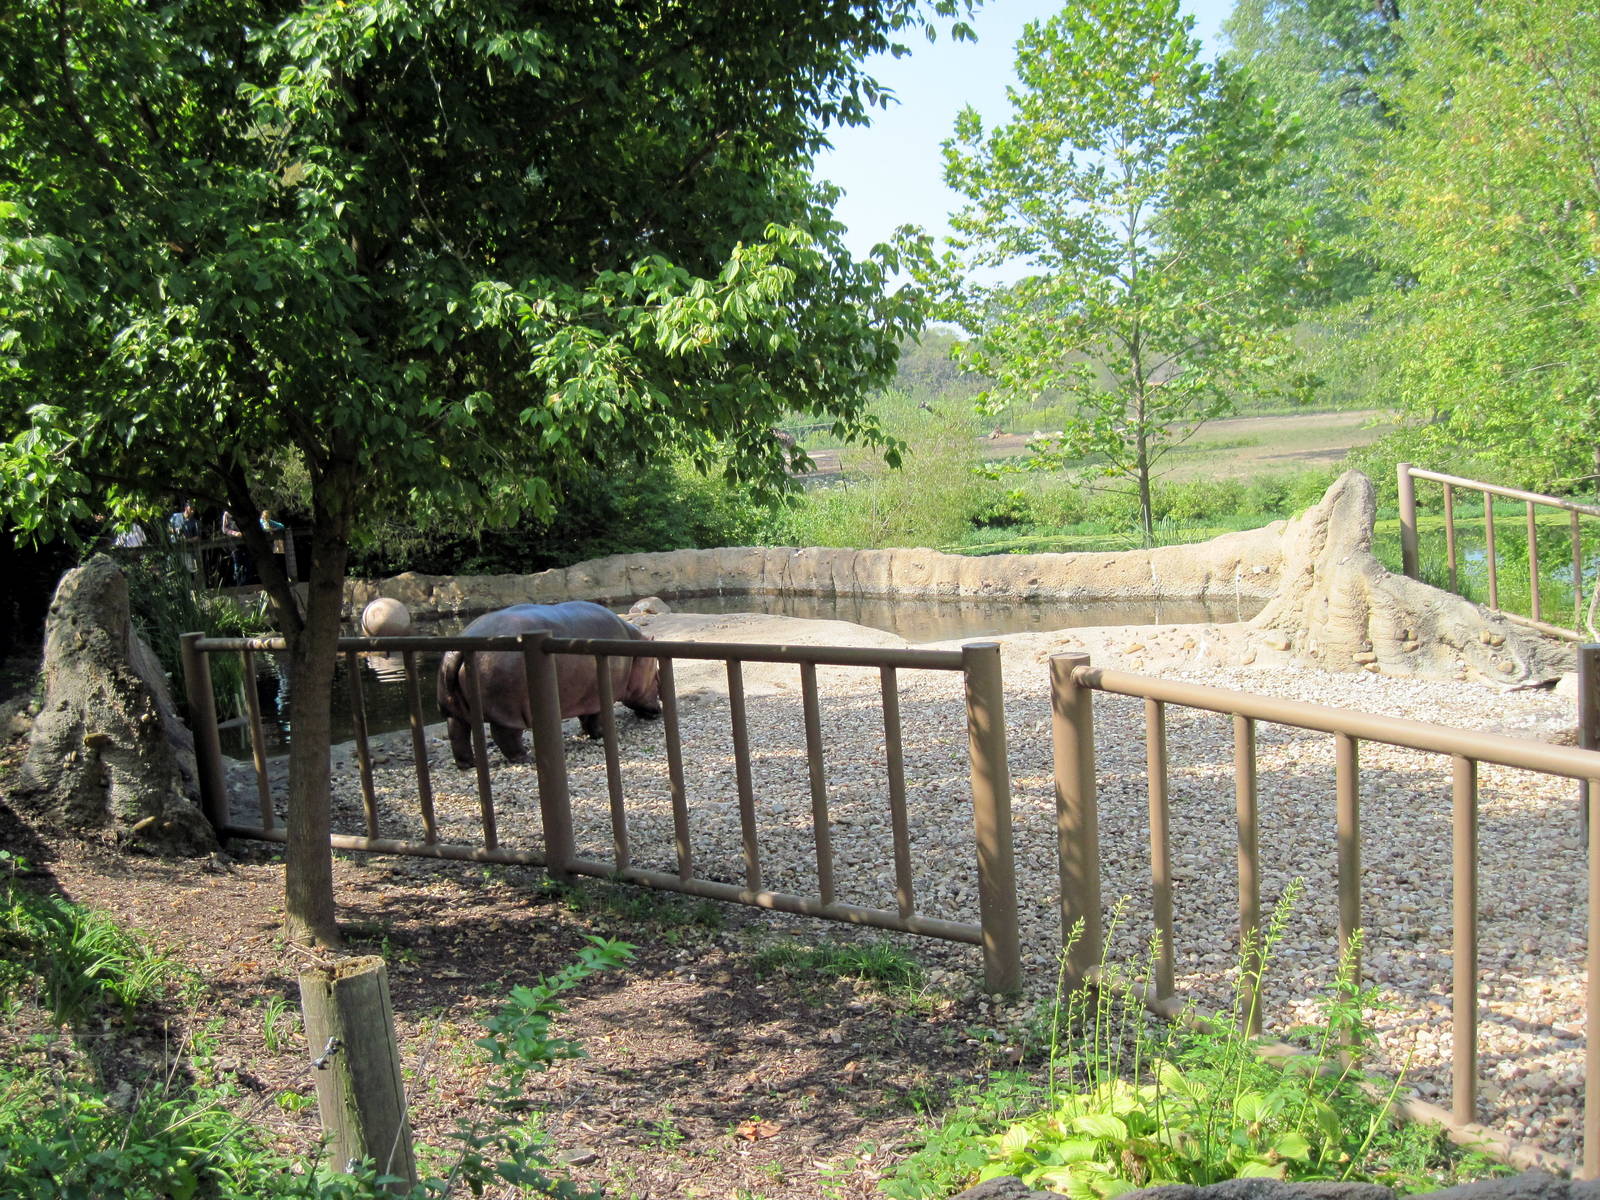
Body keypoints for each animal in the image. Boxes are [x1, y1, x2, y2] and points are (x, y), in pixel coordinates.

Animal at [436, 601, 661, 768]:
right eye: (657, 676)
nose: (657, 710)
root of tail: (458, 648)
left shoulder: (585, 695)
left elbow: (585, 718)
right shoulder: (599, 696)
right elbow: (594, 719)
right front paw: (601, 734)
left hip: (453, 710)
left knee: (458, 734)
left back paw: (469, 764)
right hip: (508, 711)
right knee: (504, 736)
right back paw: (525, 757)